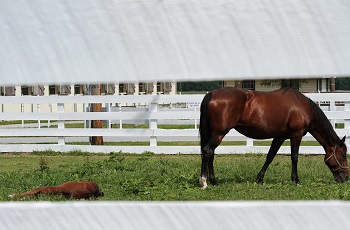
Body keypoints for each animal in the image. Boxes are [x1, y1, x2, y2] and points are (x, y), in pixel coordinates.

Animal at [200, 87, 348, 188]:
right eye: (343, 155)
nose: (346, 178)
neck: (302, 106)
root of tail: (210, 95)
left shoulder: (280, 137)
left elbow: (270, 156)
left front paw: (259, 179)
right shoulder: (296, 134)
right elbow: (294, 157)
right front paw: (296, 180)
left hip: (214, 133)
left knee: (210, 154)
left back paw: (213, 181)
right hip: (219, 133)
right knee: (207, 151)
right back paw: (204, 182)